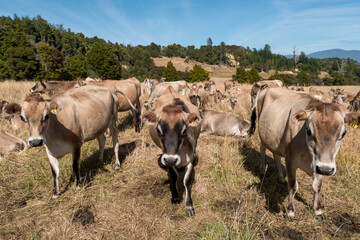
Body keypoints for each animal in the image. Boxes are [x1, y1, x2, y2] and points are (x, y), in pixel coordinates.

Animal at [141, 86, 202, 218]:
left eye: (184, 130)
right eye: (158, 130)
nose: (170, 159)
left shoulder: (190, 159)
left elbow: (187, 181)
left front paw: (189, 206)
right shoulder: (167, 158)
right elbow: (173, 176)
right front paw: (175, 197)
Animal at [250, 87, 360, 218]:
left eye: (343, 134)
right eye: (308, 131)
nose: (326, 170)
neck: (308, 154)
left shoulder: (320, 164)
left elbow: (317, 186)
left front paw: (317, 209)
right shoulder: (290, 160)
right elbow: (293, 186)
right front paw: (290, 211)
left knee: (276, 156)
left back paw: (281, 177)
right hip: (263, 136)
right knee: (262, 150)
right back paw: (262, 170)